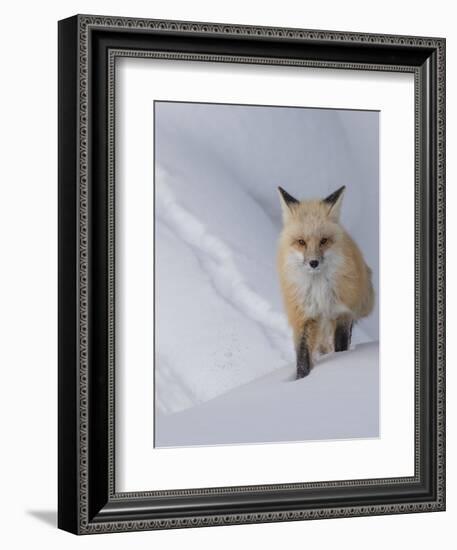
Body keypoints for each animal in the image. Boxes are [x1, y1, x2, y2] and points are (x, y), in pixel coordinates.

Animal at [276, 185, 372, 380]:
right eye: (301, 242)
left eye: (324, 241)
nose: (313, 263)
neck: (318, 290)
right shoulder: (304, 317)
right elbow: (303, 359)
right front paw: (302, 380)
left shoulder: (342, 314)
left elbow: (341, 347)